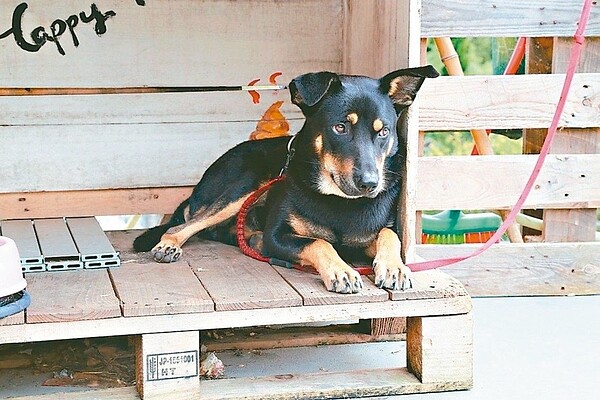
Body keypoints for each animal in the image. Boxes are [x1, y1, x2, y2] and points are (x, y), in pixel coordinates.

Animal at [134, 65, 438, 294]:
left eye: (383, 131)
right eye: (340, 127)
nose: (369, 183)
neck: (340, 201)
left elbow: (389, 235)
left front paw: (395, 267)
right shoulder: (277, 235)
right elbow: (319, 242)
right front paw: (341, 271)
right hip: (246, 184)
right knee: (185, 225)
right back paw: (170, 245)